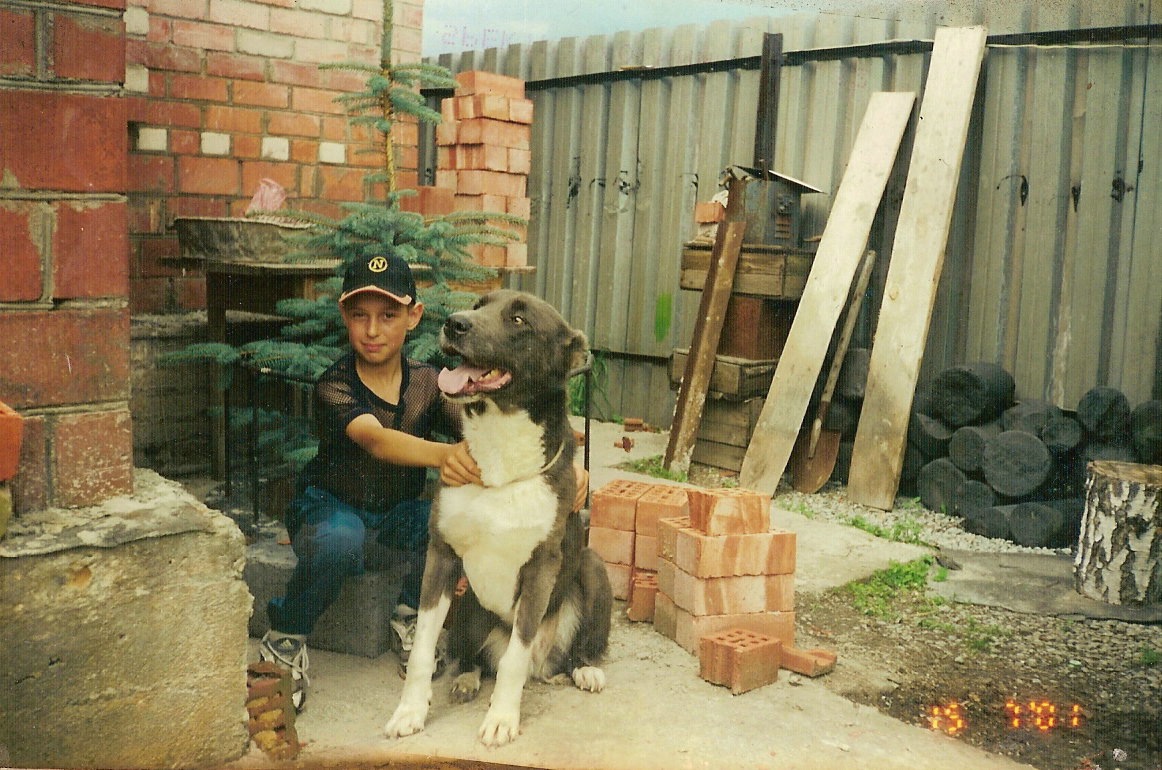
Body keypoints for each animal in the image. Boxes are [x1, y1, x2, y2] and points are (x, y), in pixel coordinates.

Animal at [384, 289, 613, 747]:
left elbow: (513, 659)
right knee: (473, 656)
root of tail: (547, 666)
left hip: (592, 569)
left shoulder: (541, 568)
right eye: (478, 304)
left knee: (566, 650)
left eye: (519, 319)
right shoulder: (441, 555)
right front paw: (410, 712)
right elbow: (422, 652)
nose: (453, 323)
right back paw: (467, 679)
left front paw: (502, 718)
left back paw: (585, 668)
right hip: (466, 602)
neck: (500, 453)